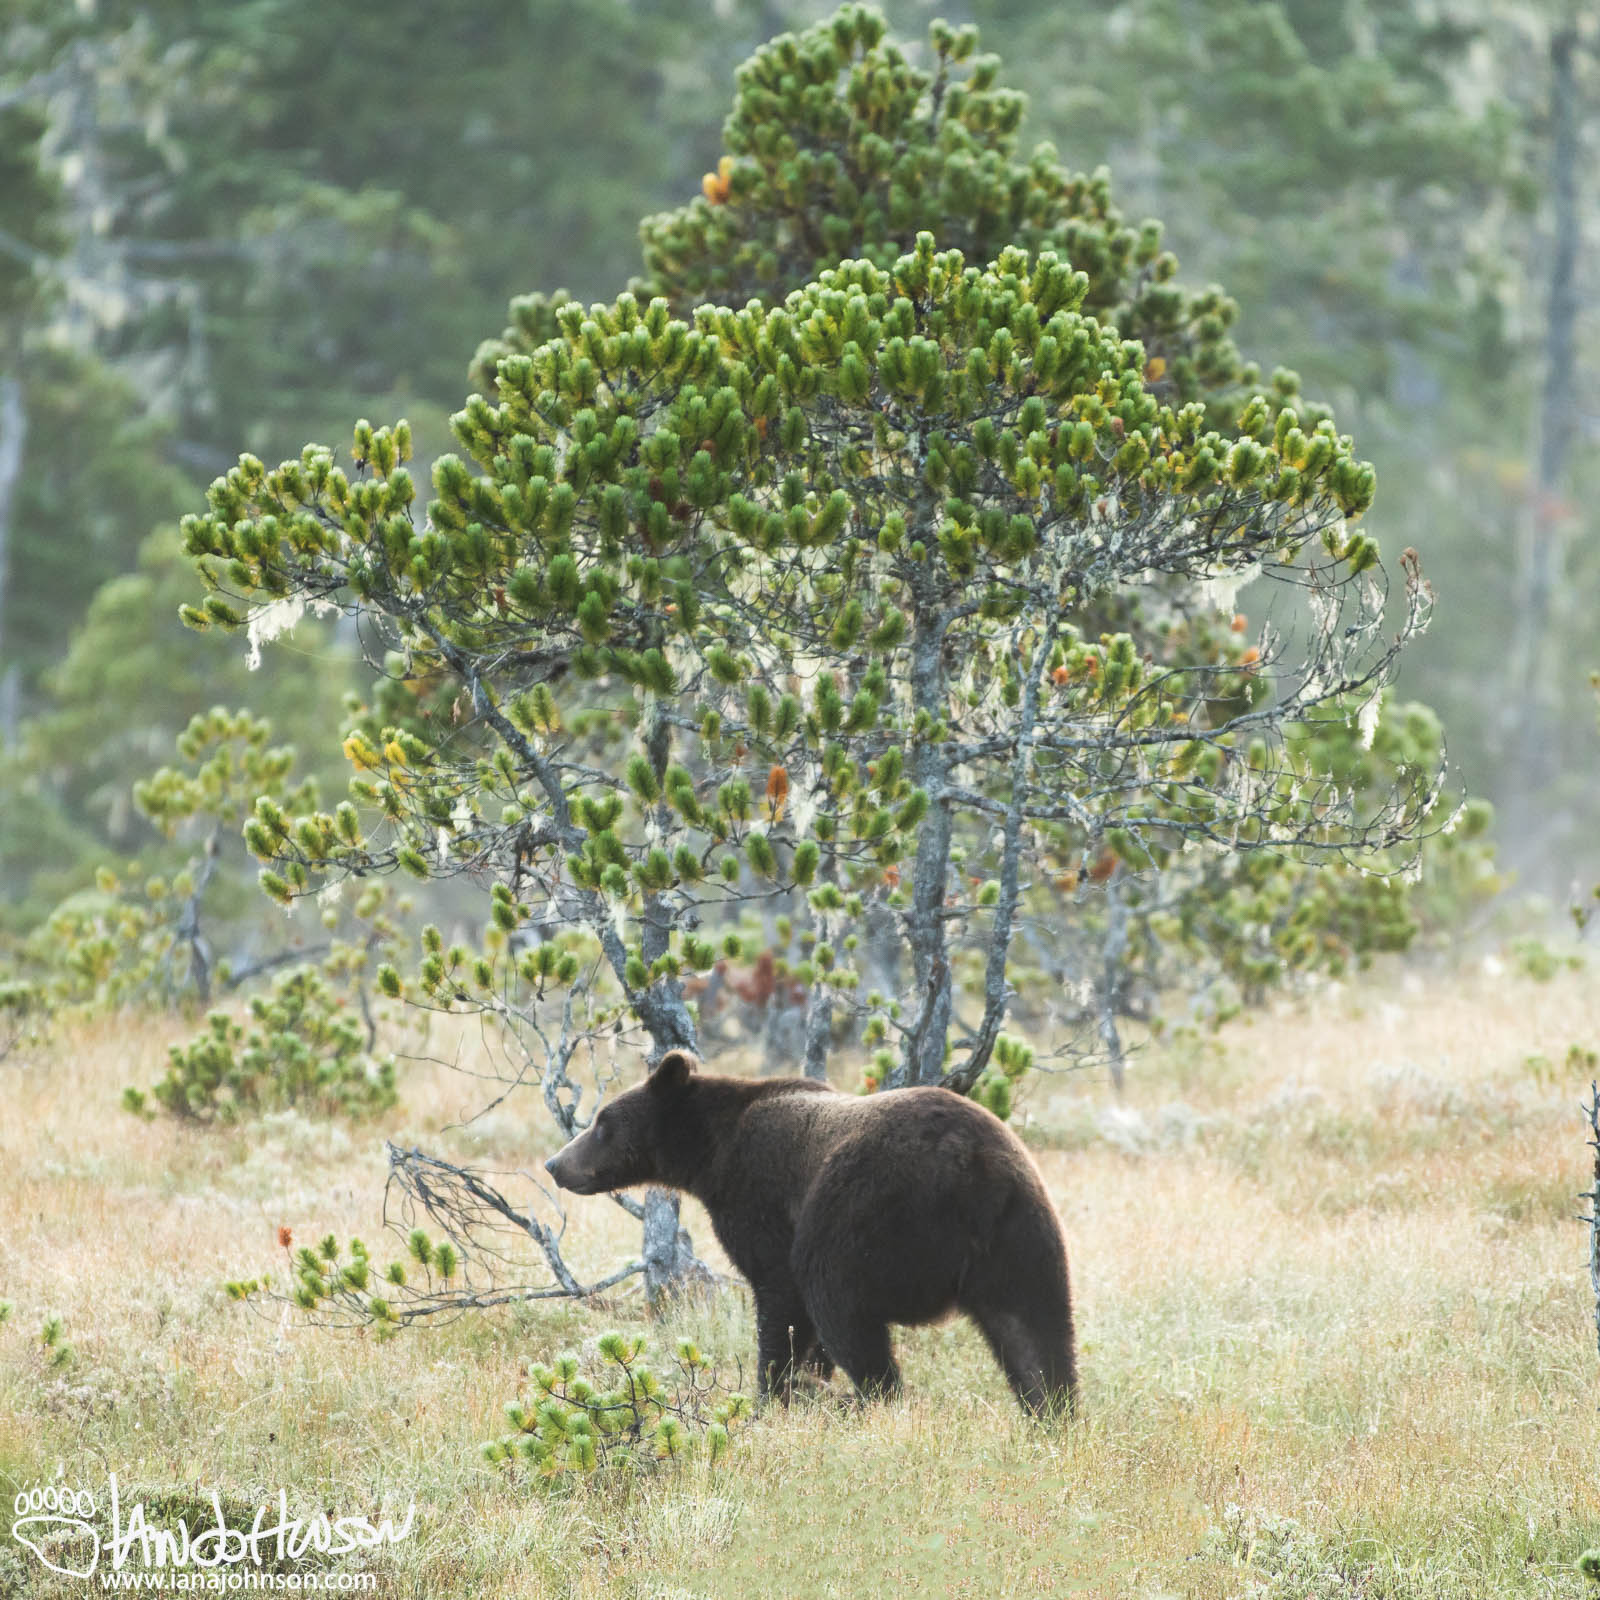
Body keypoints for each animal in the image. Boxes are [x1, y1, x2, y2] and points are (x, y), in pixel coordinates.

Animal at [543, 1048, 1078, 1417]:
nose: (555, 1163)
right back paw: (1053, 1413)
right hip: (1022, 1233)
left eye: (602, 1123)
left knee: (840, 1306)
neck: (710, 1153)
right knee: (1035, 1333)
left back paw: (862, 1397)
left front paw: (770, 1392)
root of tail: (967, 1167)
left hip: (863, 1212)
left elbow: (779, 1298)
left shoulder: (759, 1197)